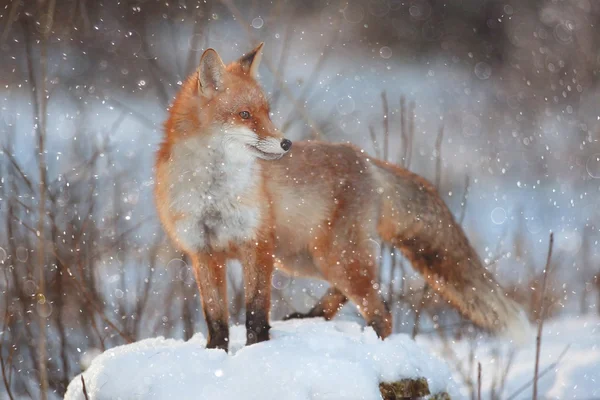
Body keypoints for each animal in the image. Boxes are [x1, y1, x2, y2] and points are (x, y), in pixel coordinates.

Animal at [155, 43, 528, 350]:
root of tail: (364, 158)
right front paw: (215, 354)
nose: (286, 143)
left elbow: (256, 314)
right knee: (359, 296)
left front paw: (257, 350)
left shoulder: (257, 245)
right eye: (244, 115)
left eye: (267, 112)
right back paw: (313, 315)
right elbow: (216, 318)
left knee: (381, 310)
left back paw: (375, 345)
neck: (211, 195)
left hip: (330, 256)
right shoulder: (203, 253)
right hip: (307, 258)